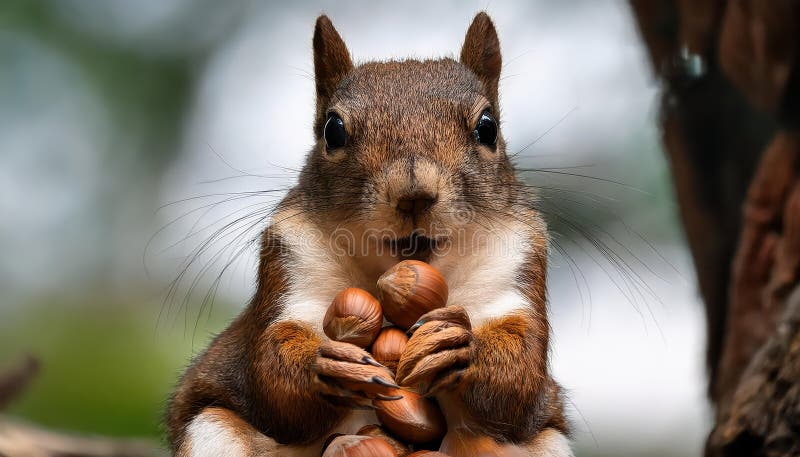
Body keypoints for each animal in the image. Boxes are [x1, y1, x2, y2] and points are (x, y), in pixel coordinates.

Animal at [166, 12, 571, 457]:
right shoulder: (289, 261)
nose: (413, 193)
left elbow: (520, 382)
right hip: (211, 430)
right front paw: (324, 366)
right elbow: (272, 379)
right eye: (333, 130)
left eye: (487, 127)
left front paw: (461, 347)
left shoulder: (518, 260)